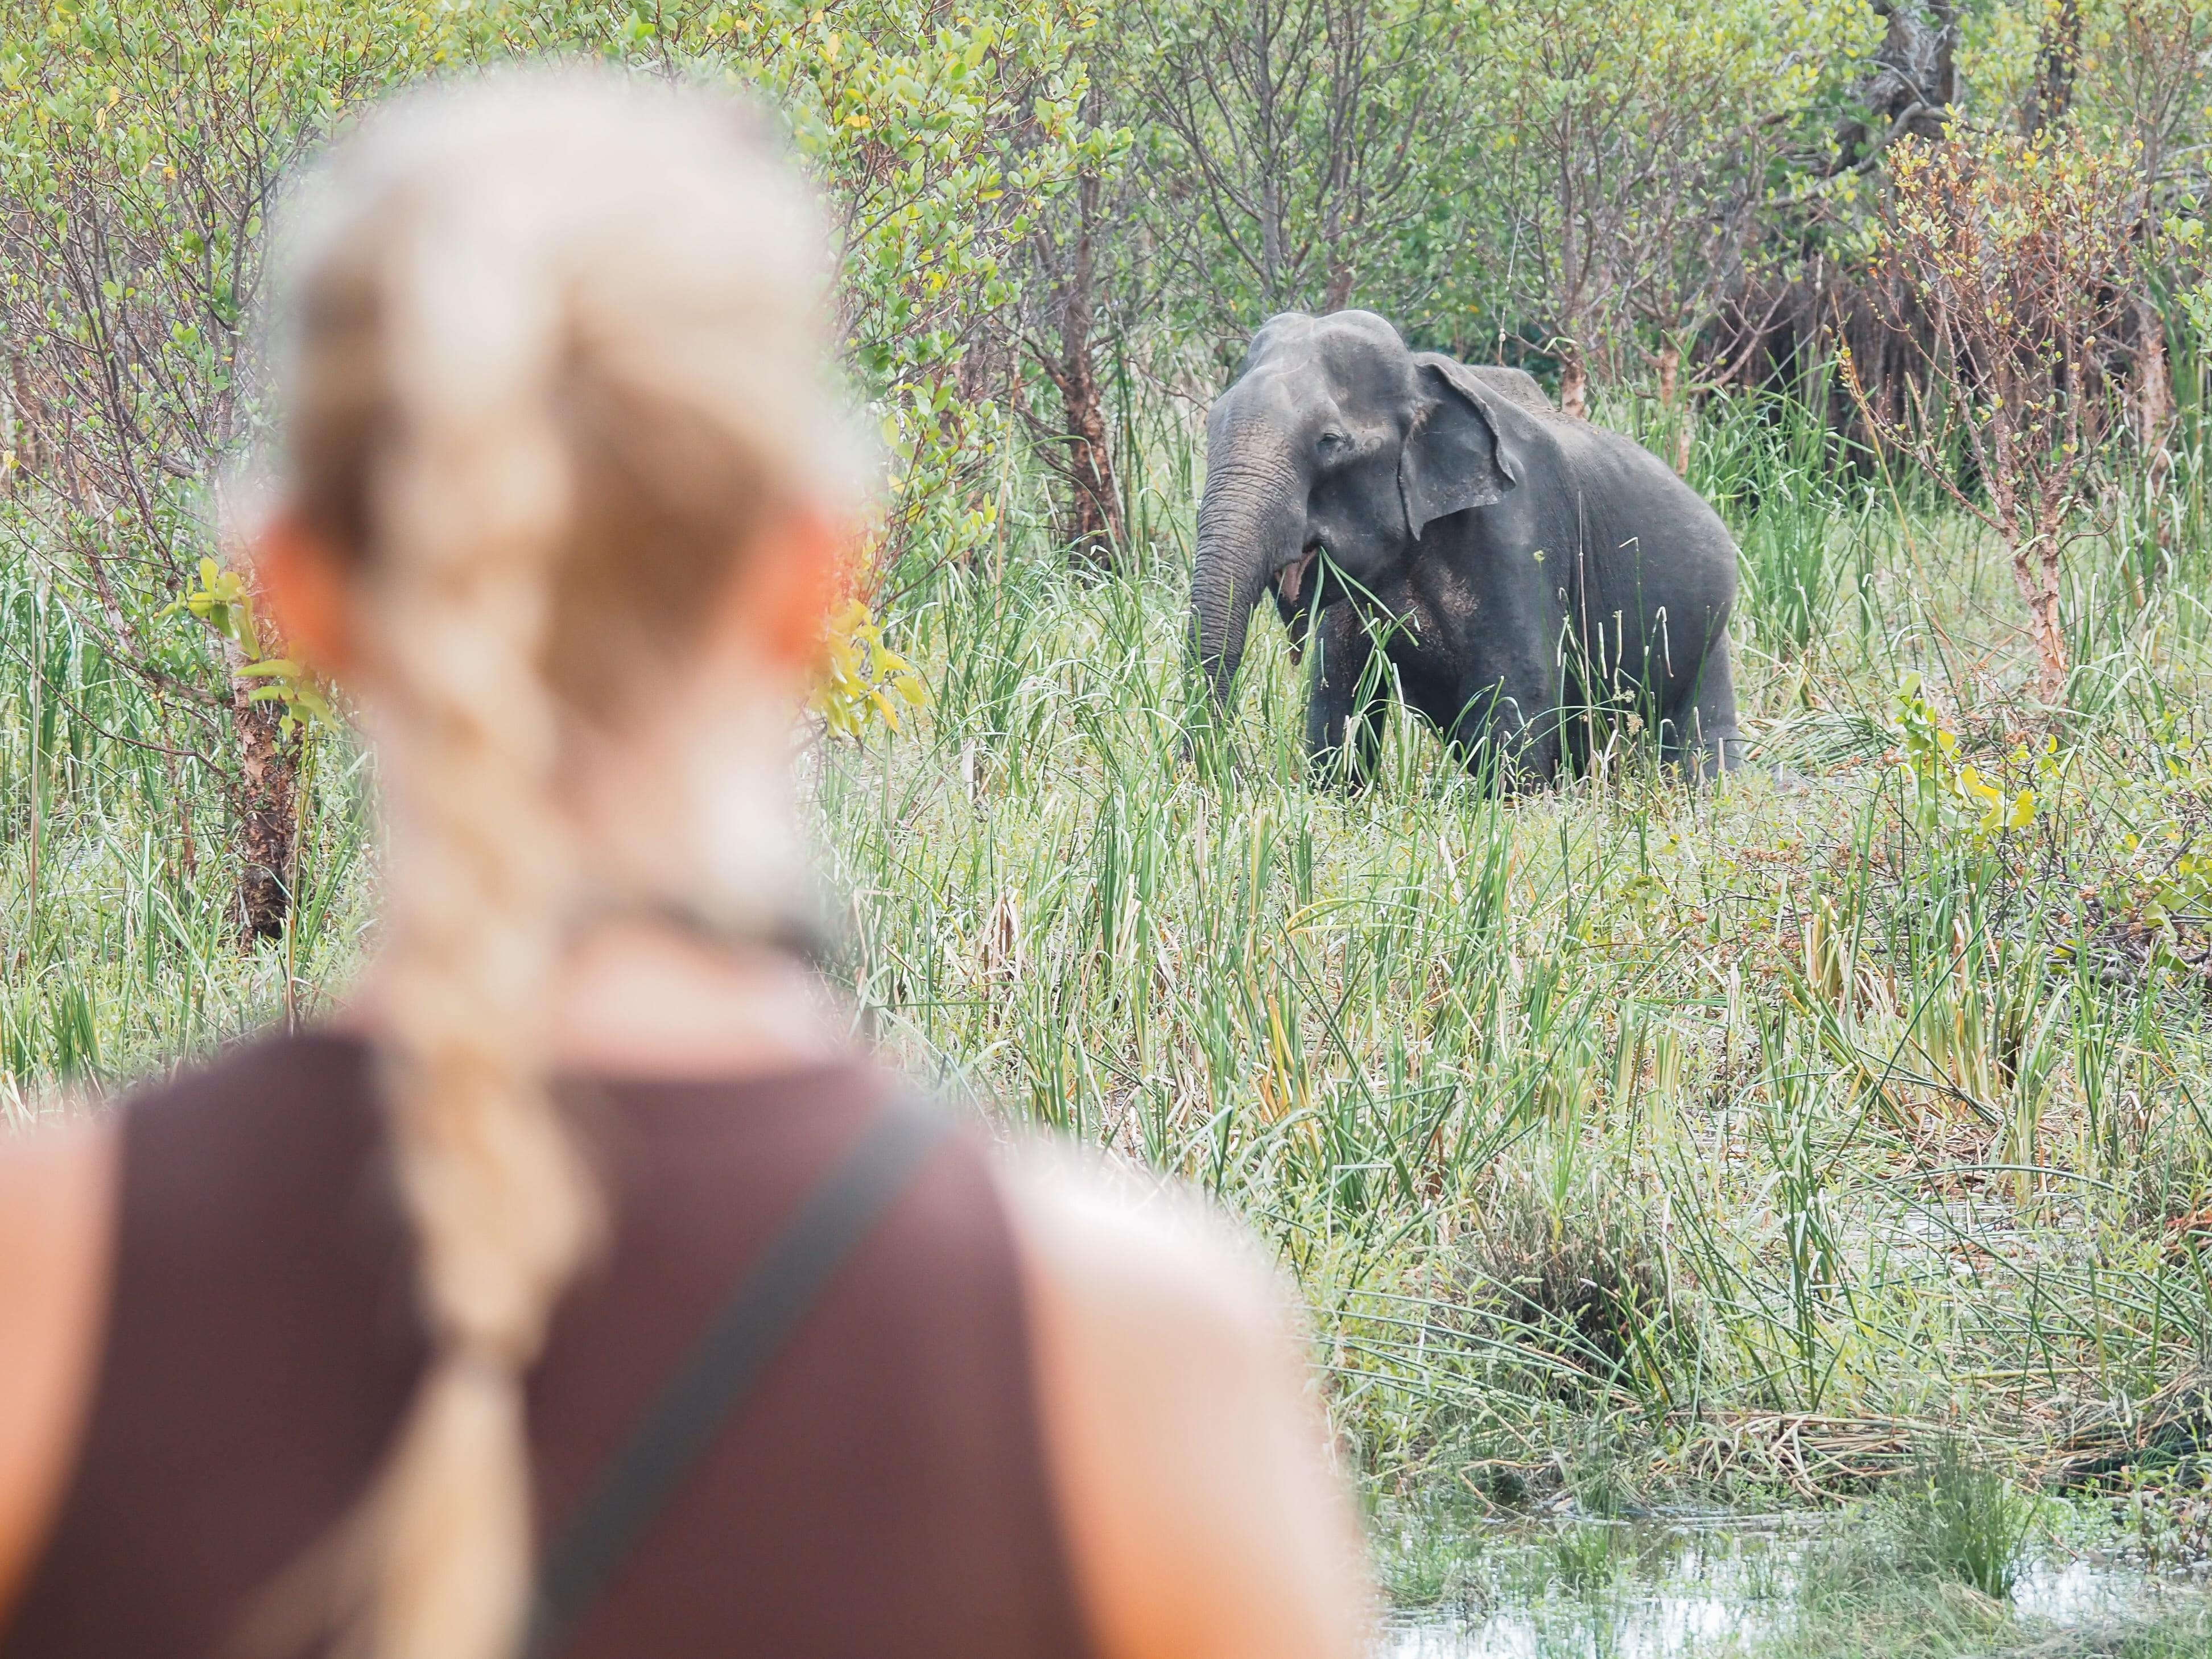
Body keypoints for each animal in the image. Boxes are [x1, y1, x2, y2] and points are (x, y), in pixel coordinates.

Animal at [1194, 312, 1743, 791]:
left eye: (1330, 441)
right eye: (1211, 422)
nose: (1213, 777)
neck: (1419, 375)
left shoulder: (1520, 530)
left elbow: (1518, 686)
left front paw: (1510, 803)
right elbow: (1338, 689)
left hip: (1710, 633)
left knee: (1700, 729)